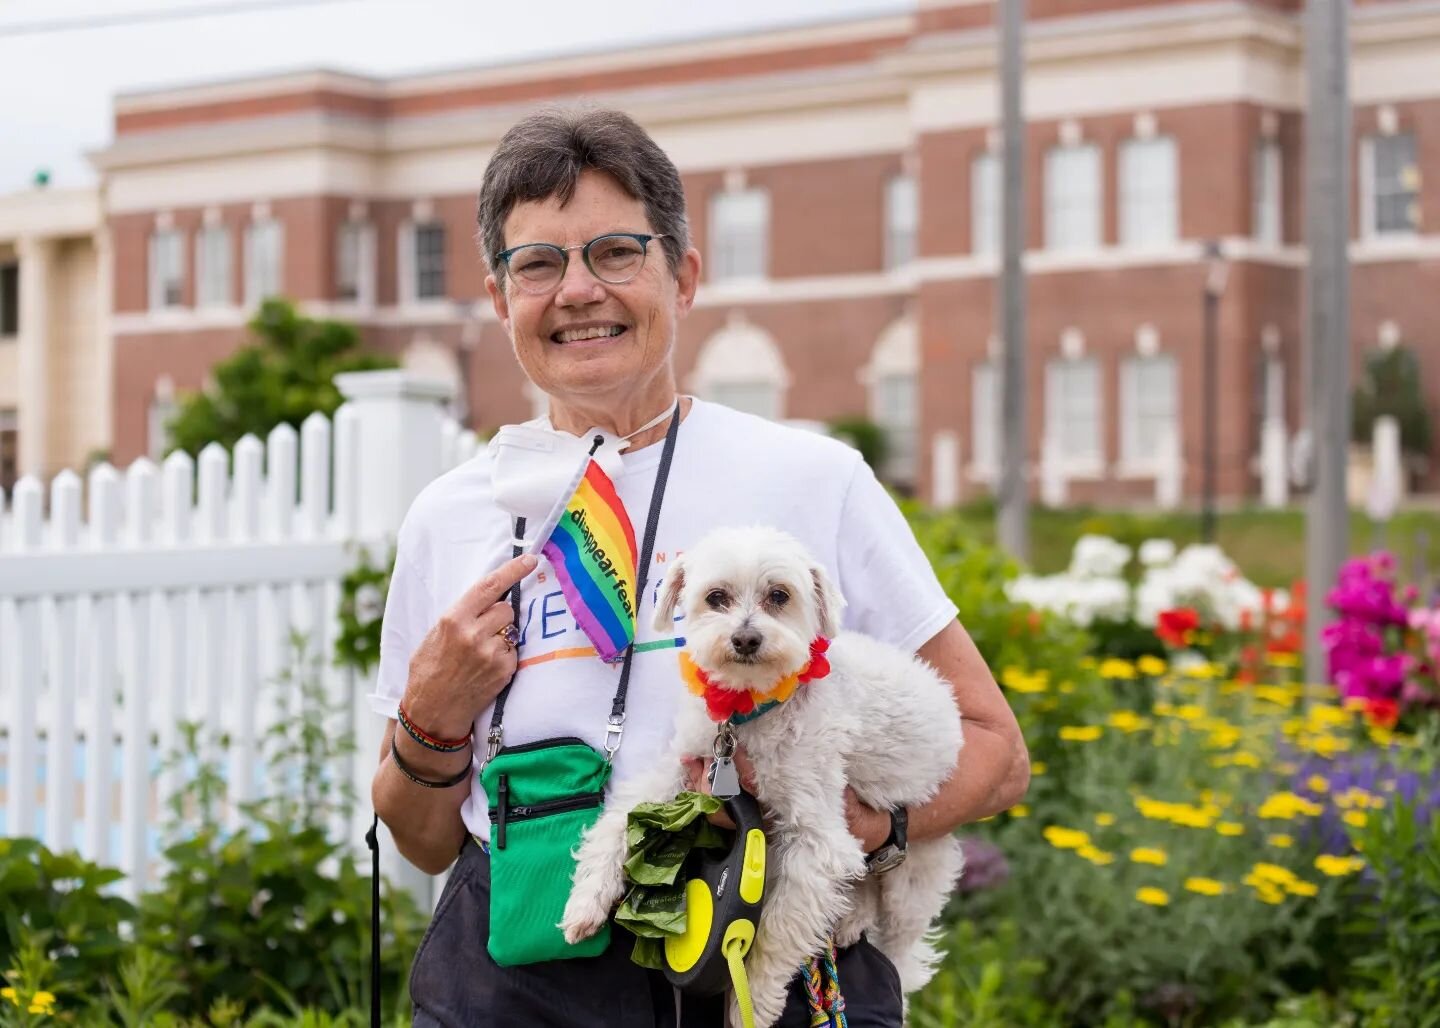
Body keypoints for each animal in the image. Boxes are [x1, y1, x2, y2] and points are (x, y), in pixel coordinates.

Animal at [561, 524, 967, 1019]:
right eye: (716, 597)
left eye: (779, 595)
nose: (746, 639)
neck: (748, 712)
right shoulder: (683, 768)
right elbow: (620, 819)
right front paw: (587, 899)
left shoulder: (816, 841)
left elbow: (775, 931)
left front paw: (749, 1002)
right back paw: (849, 919)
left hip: (915, 879)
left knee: (901, 951)